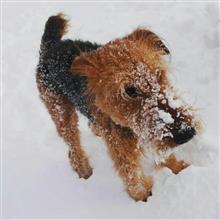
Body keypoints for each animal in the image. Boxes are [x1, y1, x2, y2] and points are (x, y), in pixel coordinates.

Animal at [36, 13, 203, 202]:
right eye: (129, 90)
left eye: (159, 74)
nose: (186, 133)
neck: (127, 125)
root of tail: (51, 44)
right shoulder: (121, 149)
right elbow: (132, 178)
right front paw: (143, 197)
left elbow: (168, 157)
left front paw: (181, 168)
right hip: (61, 112)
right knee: (73, 147)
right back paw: (84, 171)